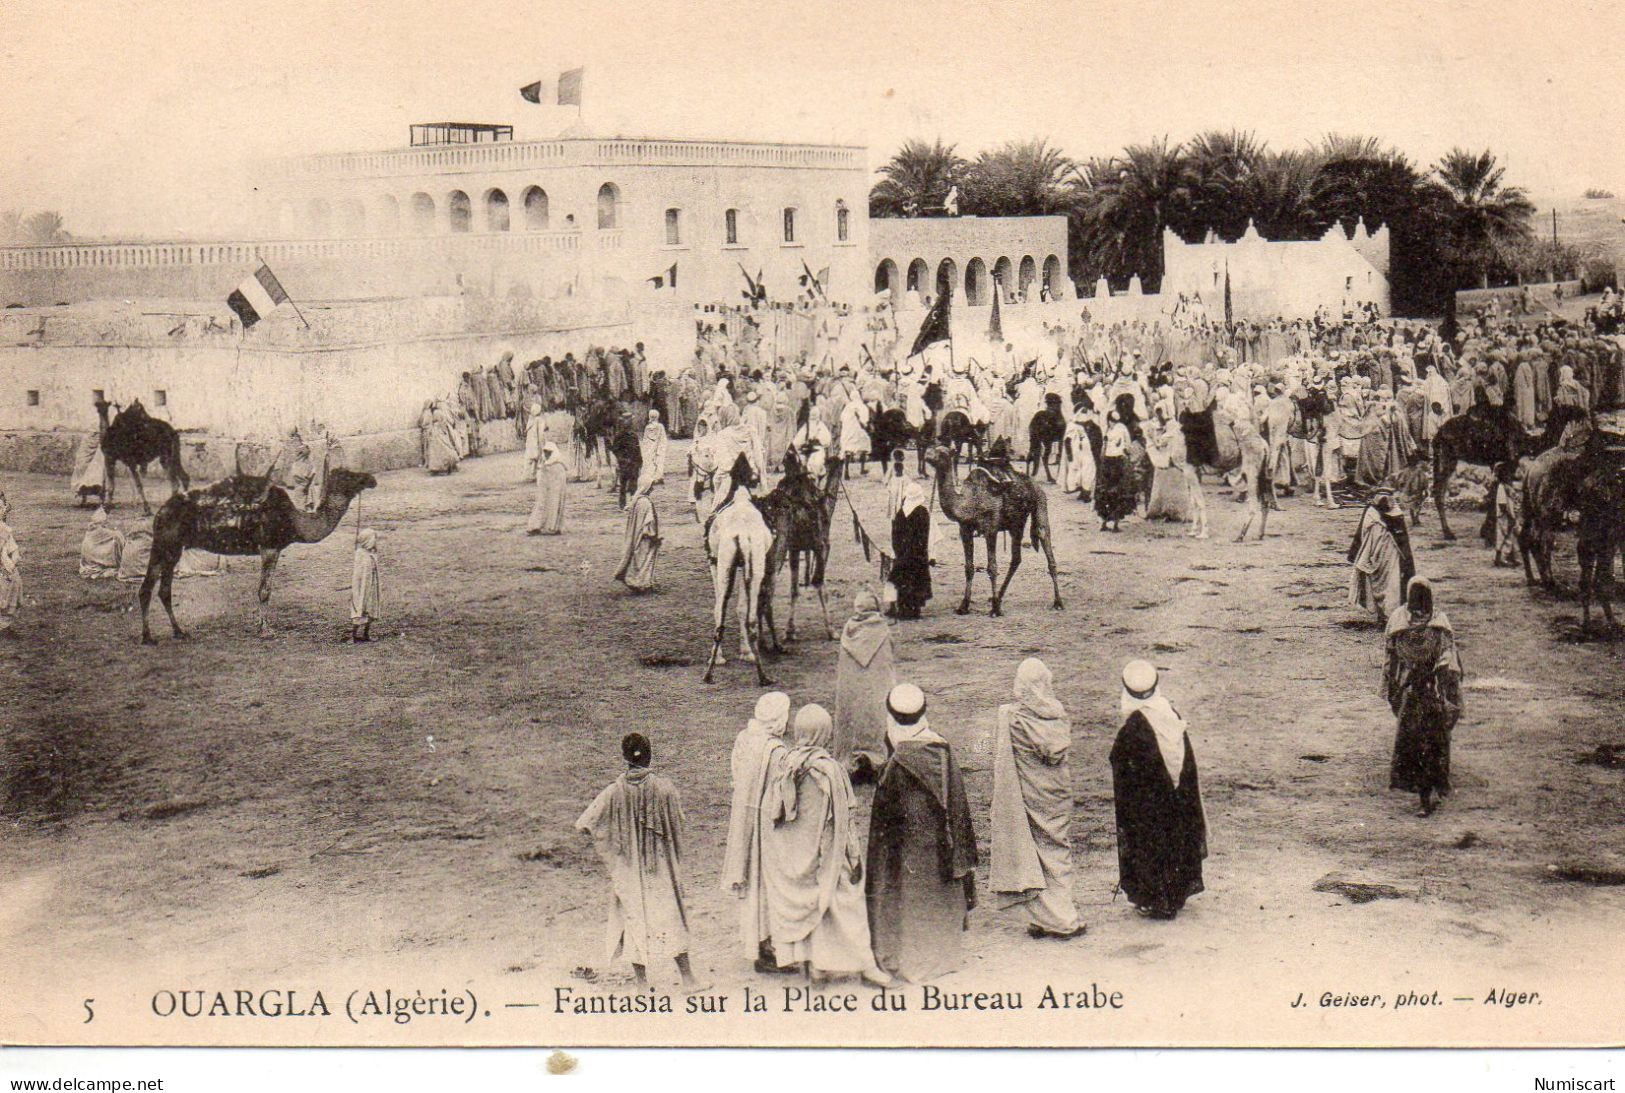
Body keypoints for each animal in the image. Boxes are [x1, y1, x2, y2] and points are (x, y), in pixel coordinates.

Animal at [138, 467, 377, 639]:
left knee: (162, 590)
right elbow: (264, 591)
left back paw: (178, 632)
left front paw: (261, 626)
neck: (294, 522)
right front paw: (265, 630)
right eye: (350, 475)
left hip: (172, 548)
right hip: (166, 544)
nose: (371, 479)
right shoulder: (269, 547)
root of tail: (160, 513)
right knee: (148, 587)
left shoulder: (273, 548)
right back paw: (148, 637)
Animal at [698, 451, 773, 682]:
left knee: (720, 617)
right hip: (755, 565)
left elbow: (718, 608)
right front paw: (745, 652)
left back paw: (709, 671)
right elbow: (742, 607)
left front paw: (722, 657)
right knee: (751, 618)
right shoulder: (744, 565)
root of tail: (742, 533)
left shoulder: (714, 561)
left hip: (724, 563)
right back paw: (762, 675)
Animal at [757, 448, 845, 649]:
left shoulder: (796, 549)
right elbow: (819, 584)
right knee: (767, 590)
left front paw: (790, 631)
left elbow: (794, 589)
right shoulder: (822, 545)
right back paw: (774, 644)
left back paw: (761, 641)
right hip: (777, 551)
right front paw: (832, 631)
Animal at [929, 441, 1066, 613]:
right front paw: (964, 605)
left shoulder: (991, 528)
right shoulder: (965, 529)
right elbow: (969, 567)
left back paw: (1058, 602)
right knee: (1016, 558)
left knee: (1046, 545)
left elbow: (992, 567)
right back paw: (999, 597)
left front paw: (994, 610)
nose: (928, 457)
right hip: (1016, 524)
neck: (969, 502)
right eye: (933, 449)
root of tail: (1034, 483)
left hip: (1041, 505)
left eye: (943, 453)